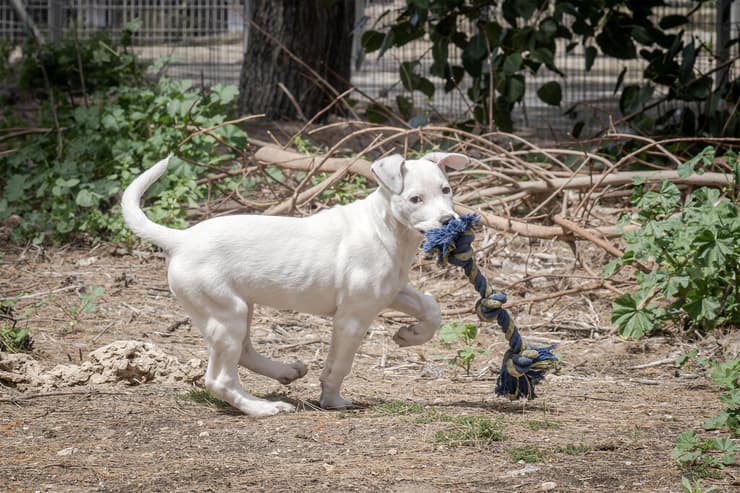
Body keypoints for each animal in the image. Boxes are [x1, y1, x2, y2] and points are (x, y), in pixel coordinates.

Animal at [121, 150, 468, 416]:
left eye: (446, 190)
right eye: (415, 198)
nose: (449, 221)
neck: (386, 228)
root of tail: (180, 239)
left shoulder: (392, 291)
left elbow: (431, 308)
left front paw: (410, 335)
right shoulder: (352, 318)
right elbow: (339, 365)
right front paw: (332, 400)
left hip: (239, 308)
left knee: (243, 351)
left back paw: (284, 372)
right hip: (226, 312)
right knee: (220, 380)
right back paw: (262, 408)